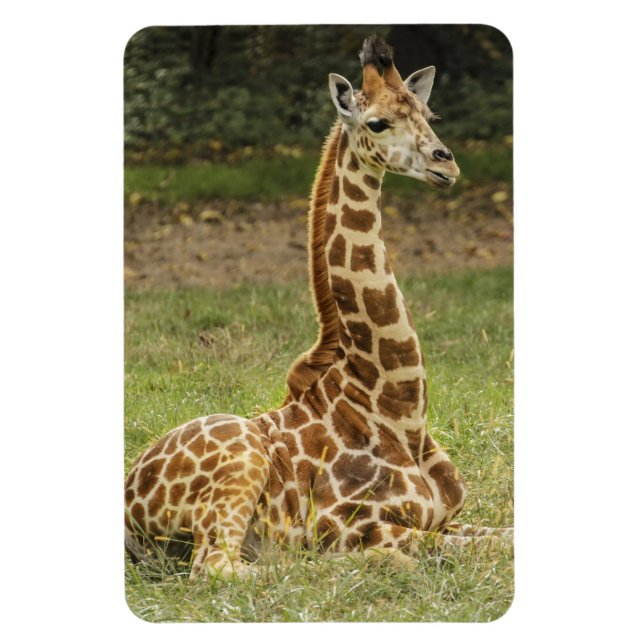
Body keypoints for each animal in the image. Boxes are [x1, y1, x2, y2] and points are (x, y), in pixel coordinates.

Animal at [124, 34, 512, 581]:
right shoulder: (351, 523)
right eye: (378, 123)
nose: (446, 163)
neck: (399, 409)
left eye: (427, 113)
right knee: (225, 566)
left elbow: (506, 540)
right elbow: (443, 551)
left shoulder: (450, 518)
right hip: (240, 469)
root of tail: (126, 512)